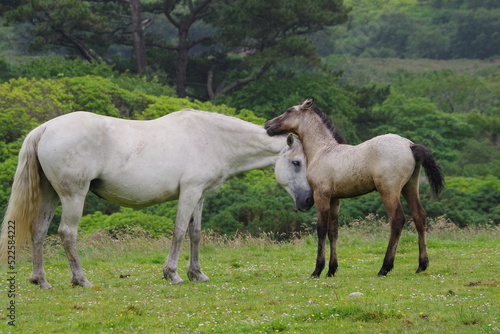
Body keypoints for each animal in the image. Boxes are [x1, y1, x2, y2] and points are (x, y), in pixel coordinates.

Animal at [0, 109, 312, 288]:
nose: (308, 202)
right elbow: (179, 231)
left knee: (39, 232)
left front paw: (197, 274)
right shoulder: (189, 192)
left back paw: (40, 280)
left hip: (51, 194)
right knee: (67, 233)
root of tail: (44, 129)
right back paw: (80, 279)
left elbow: (195, 233)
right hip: (73, 195)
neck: (214, 137)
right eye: (297, 163)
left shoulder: (199, 195)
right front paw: (172, 274)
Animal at [266, 98, 446, 276]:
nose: (268, 125)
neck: (323, 151)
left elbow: (321, 229)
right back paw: (421, 265)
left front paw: (317, 270)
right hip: (409, 187)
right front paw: (331, 270)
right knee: (419, 216)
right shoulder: (335, 199)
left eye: (289, 110)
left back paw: (385, 267)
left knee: (397, 220)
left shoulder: (321, 195)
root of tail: (410, 145)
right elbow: (333, 232)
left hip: (389, 190)